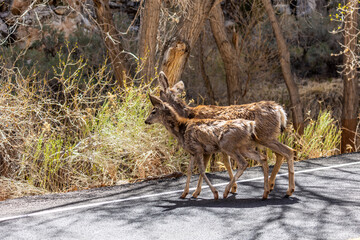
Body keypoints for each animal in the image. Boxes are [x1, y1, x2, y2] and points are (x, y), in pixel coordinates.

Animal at [158, 72, 296, 198]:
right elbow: (226, 162)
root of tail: (280, 110)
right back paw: (273, 186)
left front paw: (197, 192)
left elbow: (210, 166)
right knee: (281, 154)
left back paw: (287, 190)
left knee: (286, 152)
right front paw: (232, 188)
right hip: (267, 137)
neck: (187, 115)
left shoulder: (207, 145)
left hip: (265, 136)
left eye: (160, 95)